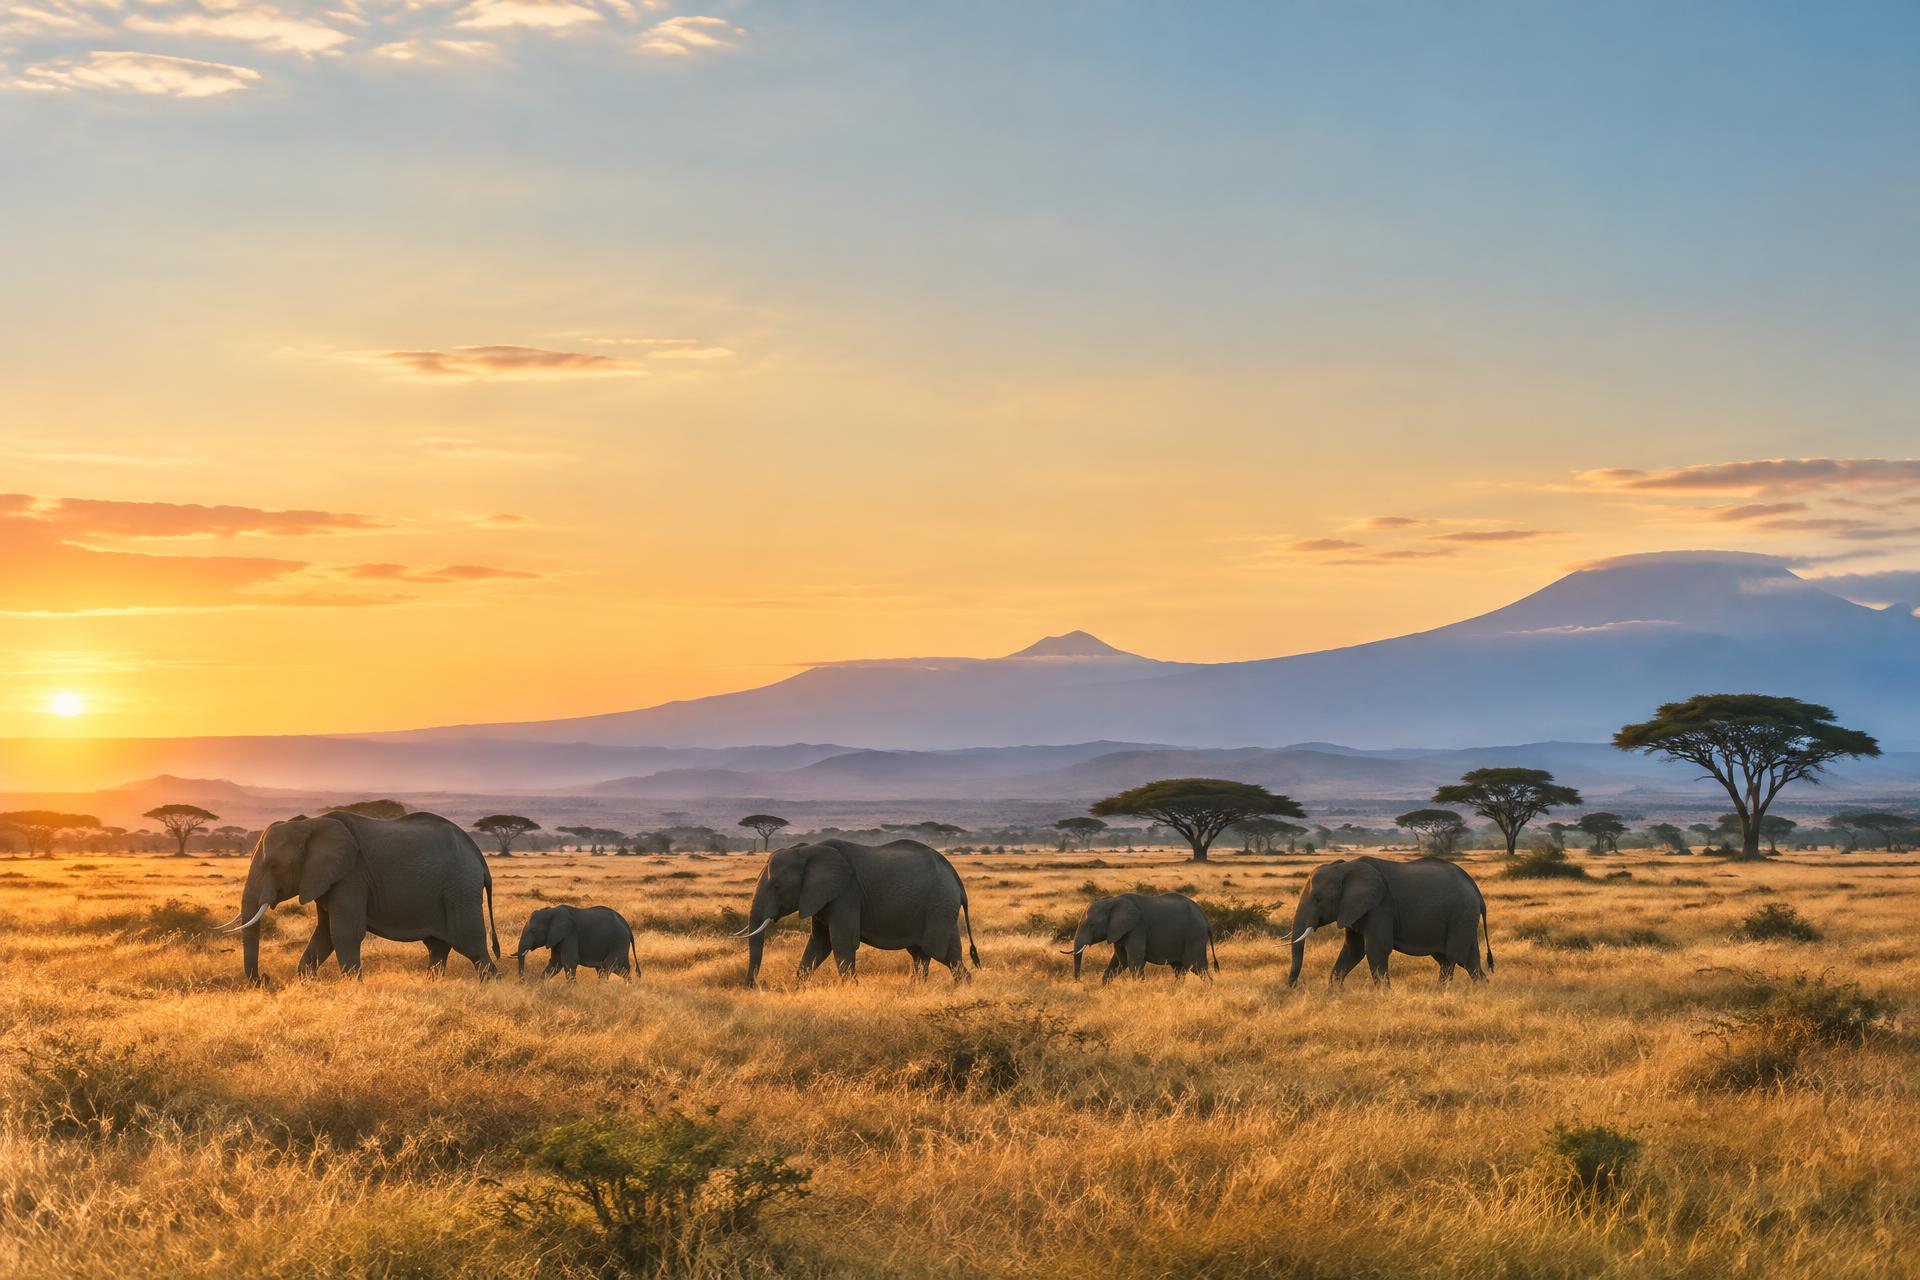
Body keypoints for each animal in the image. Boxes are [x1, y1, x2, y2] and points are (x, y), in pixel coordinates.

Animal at [216, 810, 500, 982]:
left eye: (274, 866)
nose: (265, 978)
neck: (310, 823)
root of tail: (478, 856)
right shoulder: (326, 879)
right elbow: (324, 934)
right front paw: (307, 982)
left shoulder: (351, 876)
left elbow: (343, 932)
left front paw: (354, 986)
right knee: (438, 946)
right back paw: (433, 984)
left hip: (460, 887)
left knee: (470, 944)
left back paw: (492, 985)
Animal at [737, 838, 979, 986]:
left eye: (777, 886)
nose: (753, 986)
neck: (807, 850)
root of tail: (955, 876)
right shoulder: (821, 899)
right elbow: (819, 944)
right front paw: (796, 989)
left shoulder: (847, 893)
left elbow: (842, 942)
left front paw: (851, 989)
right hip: (941, 907)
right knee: (930, 953)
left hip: (939, 904)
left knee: (937, 951)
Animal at [1060, 892, 1218, 983]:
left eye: (1092, 924)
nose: (1079, 983)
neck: (1113, 901)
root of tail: (1205, 918)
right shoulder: (1119, 931)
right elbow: (1120, 962)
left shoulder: (1137, 928)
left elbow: (1134, 962)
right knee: (1179, 970)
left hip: (1195, 937)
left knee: (1198, 968)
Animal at [1286, 856, 1492, 989]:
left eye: (1318, 899)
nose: (1294, 986)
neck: (1345, 868)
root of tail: (1476, 889)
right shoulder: (1354, 909)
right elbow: (1353, 950)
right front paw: (1333, 993)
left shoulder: (1380, 906)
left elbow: (1376, 949)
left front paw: (1384, 995)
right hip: (1463, 918)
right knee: (1461, 961)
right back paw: (1478, 990)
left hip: (1461, 915)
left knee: (1457, 958)